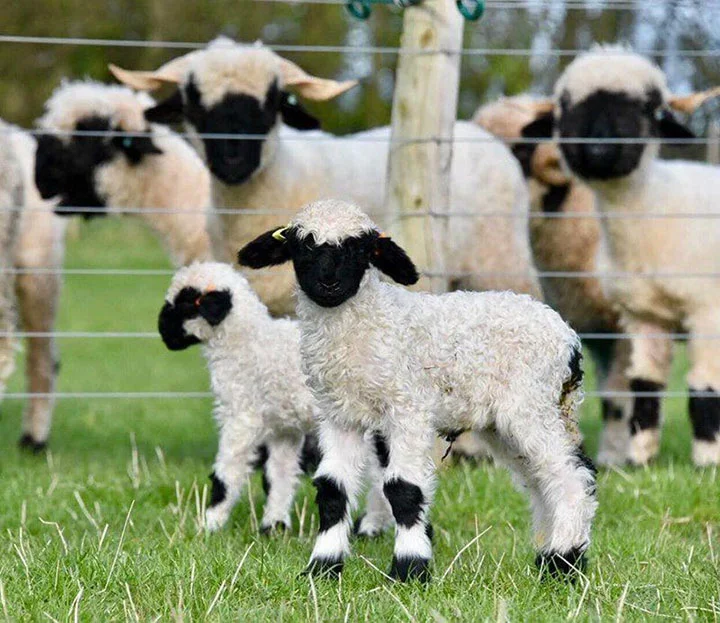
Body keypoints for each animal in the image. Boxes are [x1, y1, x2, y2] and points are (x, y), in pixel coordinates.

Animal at [158, 261, 393, 535]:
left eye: (185, 303)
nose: (163, 332)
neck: (247, 341)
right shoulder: (284, 429)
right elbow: (279, 476)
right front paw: (274, 526)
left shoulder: (242, 417)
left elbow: (226, 473)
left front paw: (209, 524)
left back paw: (370, 528)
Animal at [238, 199, 598, 583]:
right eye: (303, 246)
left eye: (360, 249)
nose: (329, 283)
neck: (366, 326)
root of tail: (568, 341)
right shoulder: (339, 416)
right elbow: (333, 489)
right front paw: (322, 567)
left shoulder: (407, 409)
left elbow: (403, 489)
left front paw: (409, 568)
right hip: (507, 423)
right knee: (542, 481)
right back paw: (551, 558)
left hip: (531, 405)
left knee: (572, 477)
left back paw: (564, 560)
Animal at [519, 45, 720, 466]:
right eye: (566, 107)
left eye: (645, 107)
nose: (597, 150)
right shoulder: (644, 315)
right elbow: (644, 386)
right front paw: (640, 460)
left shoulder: (707, 310)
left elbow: (704, 389)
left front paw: (708, 462)